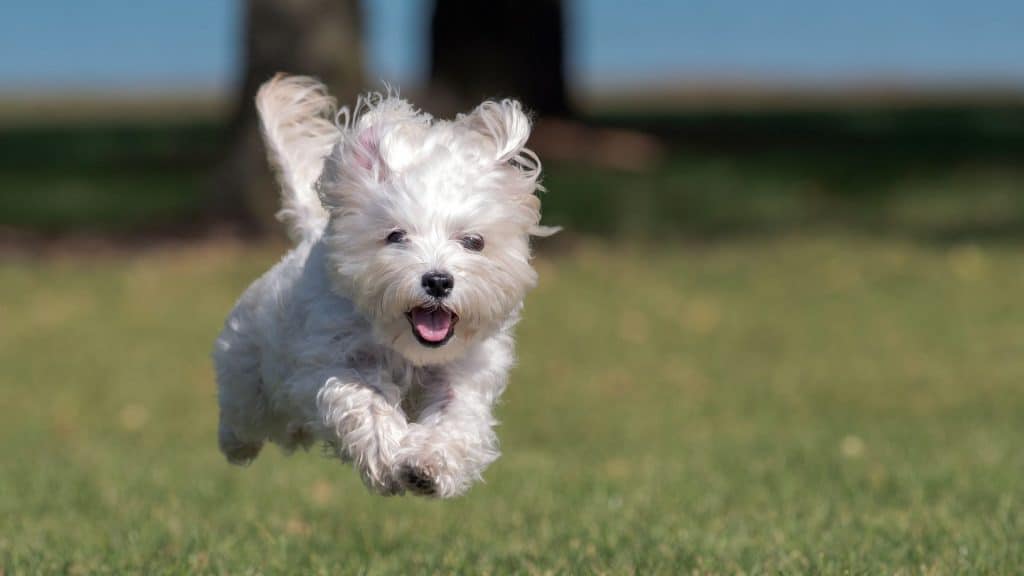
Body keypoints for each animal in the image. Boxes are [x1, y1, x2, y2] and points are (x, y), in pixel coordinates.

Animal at [210, 73, 557, 496]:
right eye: (395, 236)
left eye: (473, 241)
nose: (438, 280)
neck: (408, 350)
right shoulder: (333, 361)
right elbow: (365, 402)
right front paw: (391, 458)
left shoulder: (464, 375)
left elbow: (455, 417)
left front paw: (427, 463)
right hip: (249, 373)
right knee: (244, 412)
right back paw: (236, 442)